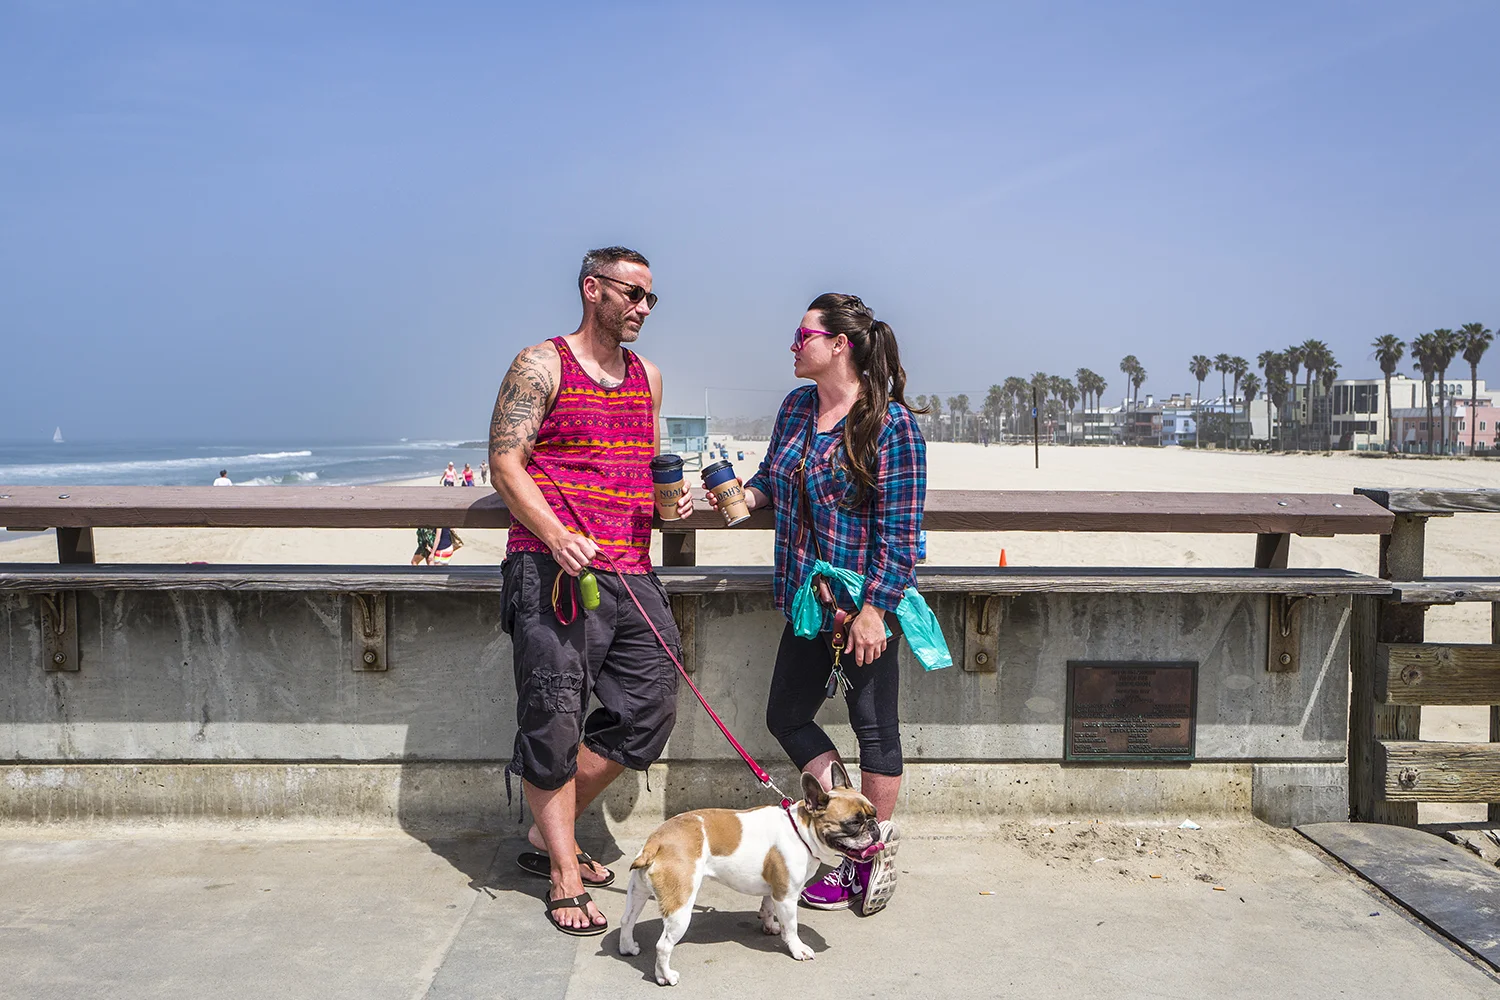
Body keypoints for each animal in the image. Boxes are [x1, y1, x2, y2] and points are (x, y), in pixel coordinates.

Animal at [618, 762, 887, 986]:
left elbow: (767, 908)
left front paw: (770, 927)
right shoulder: (787, 897)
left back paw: (628, 947)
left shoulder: (774, 891)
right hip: (680, 906)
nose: (874, 826)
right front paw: (797, 948)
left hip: (638, 892)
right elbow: (792, 927)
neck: (801, 829)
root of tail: (656, 842)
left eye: (873, 812)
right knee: (663, 945)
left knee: (627, 919)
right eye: (853, 823)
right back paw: (665, 977)